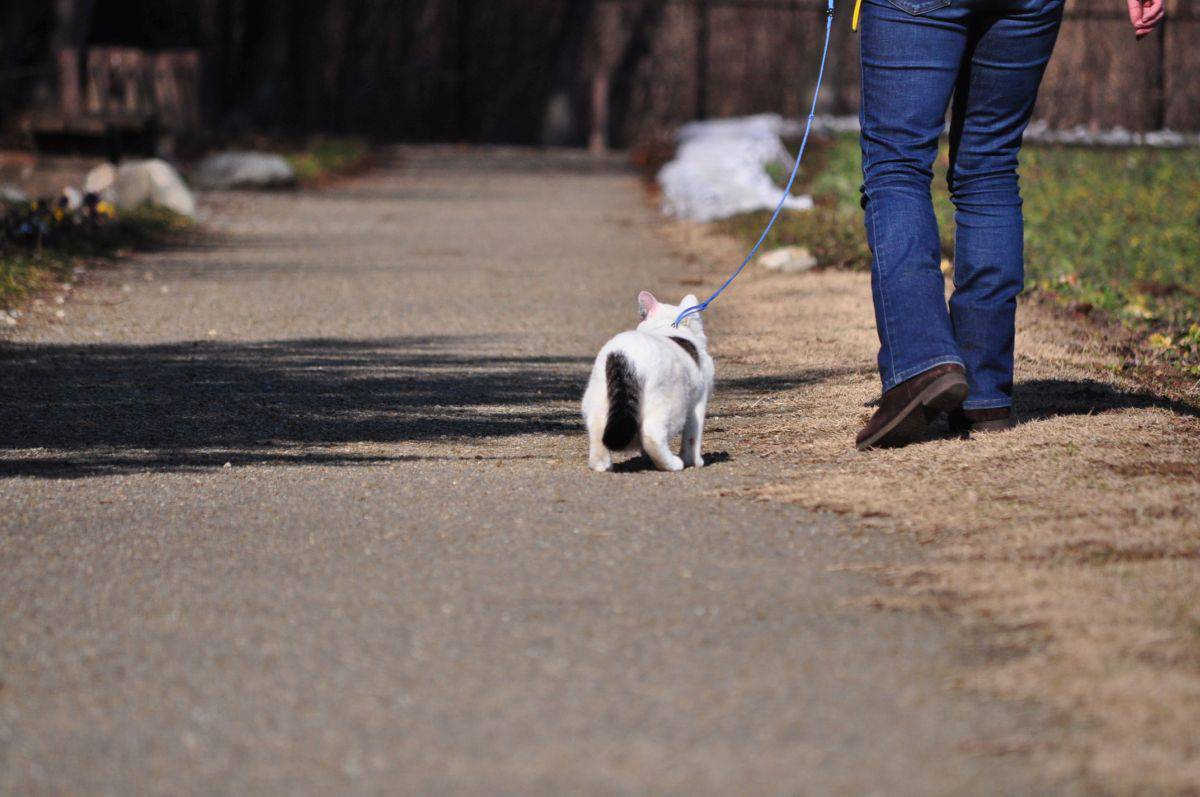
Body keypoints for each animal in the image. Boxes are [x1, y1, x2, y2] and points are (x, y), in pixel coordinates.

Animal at [580, 291, 710, 472]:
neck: (668, 327)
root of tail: (625, 357)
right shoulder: (699, 400)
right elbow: (693, 436)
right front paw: (694, 461)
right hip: (674, 405)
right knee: (652, 435)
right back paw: (672, 464)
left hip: (597, 400)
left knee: (598, 431)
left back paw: (601, 466)